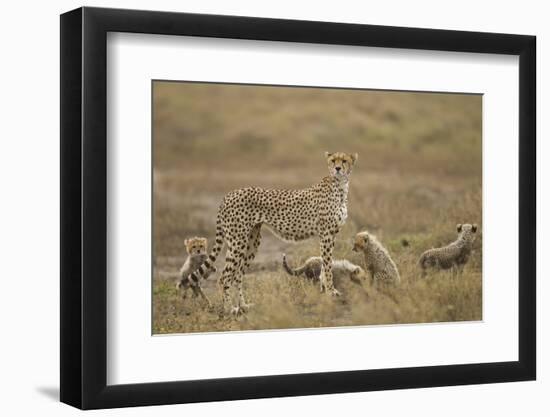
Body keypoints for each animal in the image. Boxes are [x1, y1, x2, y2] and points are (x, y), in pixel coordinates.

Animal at [192, 151, 360, 314]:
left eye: (344, 161)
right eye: (333, 160)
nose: (337, 168)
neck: (340, 186)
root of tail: (229, 194)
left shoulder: (331, 235)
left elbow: (326, 264)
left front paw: (326, 290)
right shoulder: (326, 234)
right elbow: (328, 265)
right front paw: (331, 292)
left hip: (252, 241)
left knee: (238, 275)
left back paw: (243, 306)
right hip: (237, 241)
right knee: (224, 277)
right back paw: (229, 309)